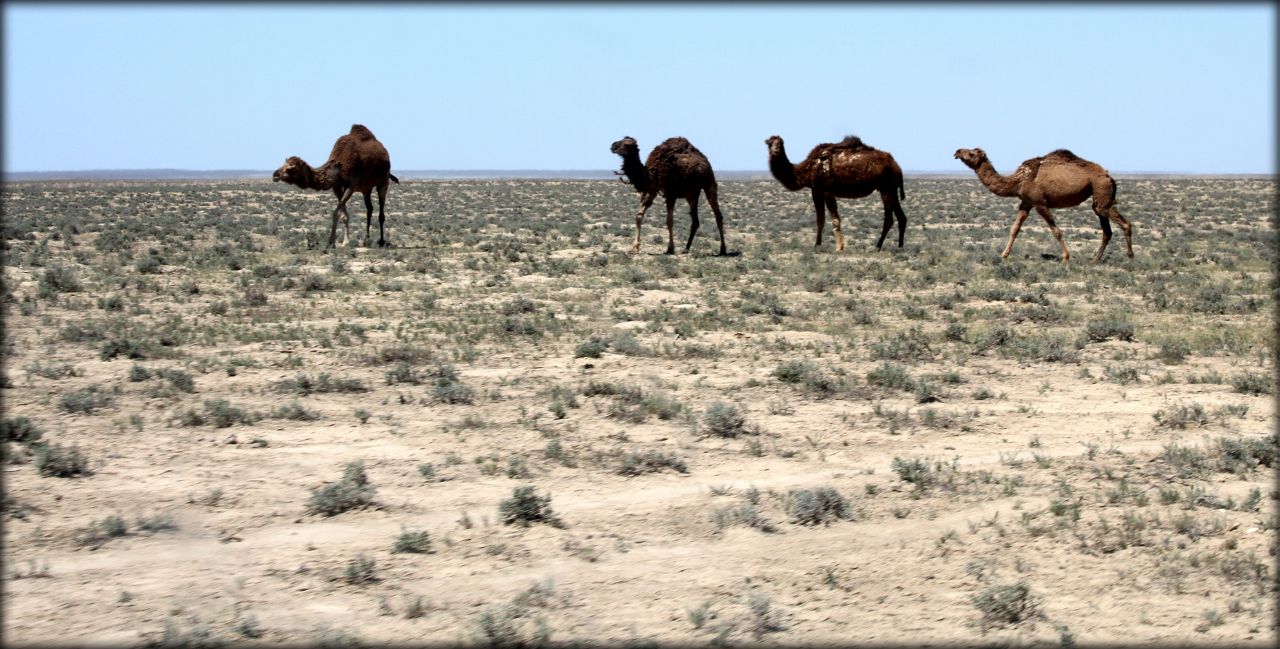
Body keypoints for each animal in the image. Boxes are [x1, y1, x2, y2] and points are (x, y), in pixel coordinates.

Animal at [762, 134, 906, 250]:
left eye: (781, 143)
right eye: (769, 143)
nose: (775, 150)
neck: (807, 170)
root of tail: (897, 166)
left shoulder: (825, 191)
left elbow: (833, 220)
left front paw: (838, 248)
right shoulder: (817, 190)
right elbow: (820, 220)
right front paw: (818, 245)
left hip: (887, 187)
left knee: (889, 219)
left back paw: (877, 247)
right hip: (890, 189)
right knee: (901, 217)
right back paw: (900, 247)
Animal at [952, 148, 1141, 264]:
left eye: (971, 153)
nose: (957, 151)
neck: (1018, 180)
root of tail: (1109, 176)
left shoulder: (1039, 202)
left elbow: (1056, 231)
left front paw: (1065, 258)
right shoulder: (1026, 202)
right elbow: (1015, 228)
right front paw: (1003, 255)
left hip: (1101, 190)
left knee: (1124, 223)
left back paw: (1130, 257)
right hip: (1099, 197)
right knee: (1106, 230)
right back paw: (1094, 261)